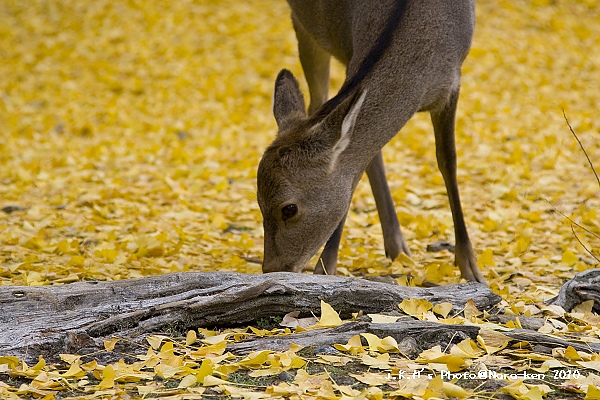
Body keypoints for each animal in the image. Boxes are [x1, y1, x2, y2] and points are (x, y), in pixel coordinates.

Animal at [255, 0, 486, 282]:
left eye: (289, 208)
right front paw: (325, 270)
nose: (271, 268)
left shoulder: (453, 84)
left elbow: (448, 161)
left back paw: (398, 249)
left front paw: (470, 268)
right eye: (258, 201)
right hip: (304, 26)